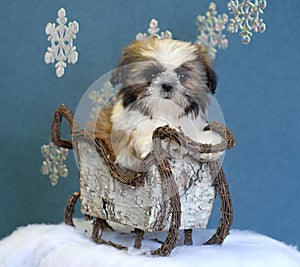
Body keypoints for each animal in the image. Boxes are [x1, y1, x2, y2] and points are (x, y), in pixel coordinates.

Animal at [95, 37, 224, 172]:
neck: (164, 112)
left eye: (183, 77)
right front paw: (170, 142)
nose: (167, 85)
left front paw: (206, 143)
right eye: (151, 75)